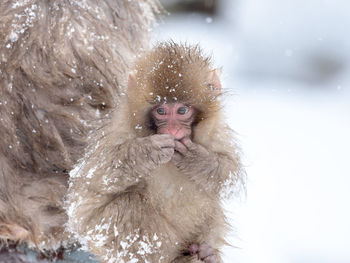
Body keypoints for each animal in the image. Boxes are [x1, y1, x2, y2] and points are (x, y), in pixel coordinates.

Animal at [67, 42, 245, 262]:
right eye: (161, 111)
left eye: (182, 110)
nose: (172, 130)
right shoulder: (120, 131)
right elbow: (86, 190)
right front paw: (148, 152)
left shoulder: (216, 132)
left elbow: (229, 173)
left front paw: (195, 159)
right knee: (130, 206)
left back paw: (204, 253)